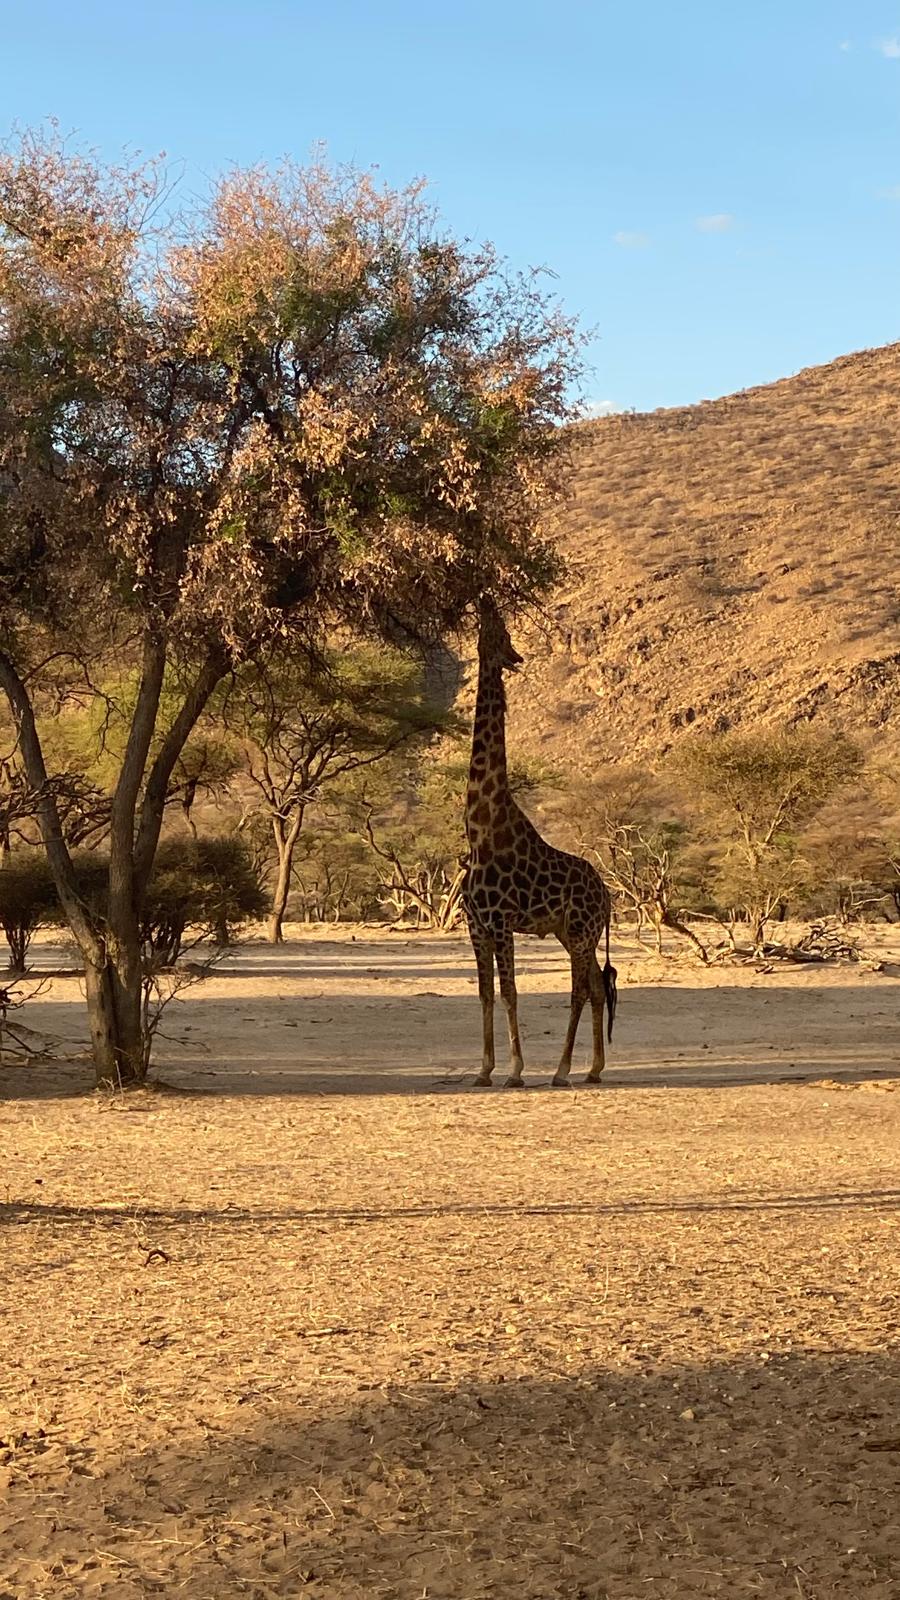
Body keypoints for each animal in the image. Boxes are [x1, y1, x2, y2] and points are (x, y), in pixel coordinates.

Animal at [462, 596, 617, 1088]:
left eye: (501, 630)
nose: (485, 598)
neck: (479, 828)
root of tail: (608, 896)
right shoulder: (476, 925)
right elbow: (486, 994)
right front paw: (484, 1069)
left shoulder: (501, 922)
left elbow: (510, 993)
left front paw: (514, 1069)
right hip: (571, 933)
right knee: (597, 988)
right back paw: (593, 1068)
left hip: (583, 931)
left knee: (581, 990)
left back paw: (564, 1070)